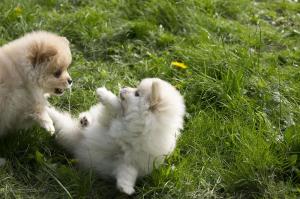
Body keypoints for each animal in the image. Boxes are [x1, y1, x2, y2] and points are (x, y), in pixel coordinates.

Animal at [47, 77, 185, 194]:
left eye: (137, 94)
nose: (123, 87)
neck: (138, 131)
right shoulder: (108, 122)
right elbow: (115, 107)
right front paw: (103, 93)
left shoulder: (132, 161)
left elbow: (128, 172)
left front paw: (126, 188)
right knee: (64, 119)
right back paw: (76, 119)